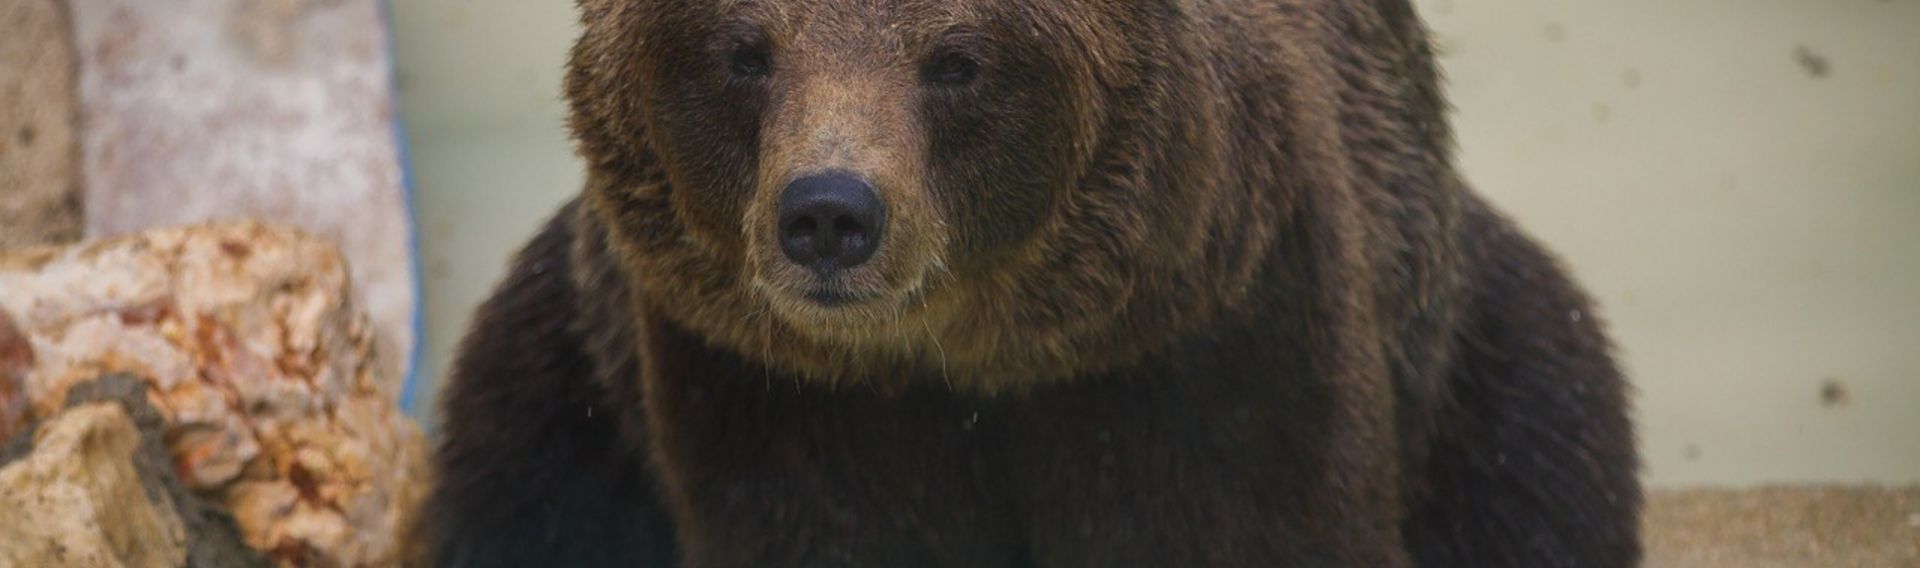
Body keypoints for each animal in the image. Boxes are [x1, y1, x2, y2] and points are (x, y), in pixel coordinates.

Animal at [416, 0, 1635, 564]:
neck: (978, 357)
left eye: (956, 60)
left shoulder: (1215, 343)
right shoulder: (769, 388)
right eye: (745, 50)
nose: (830, 215)